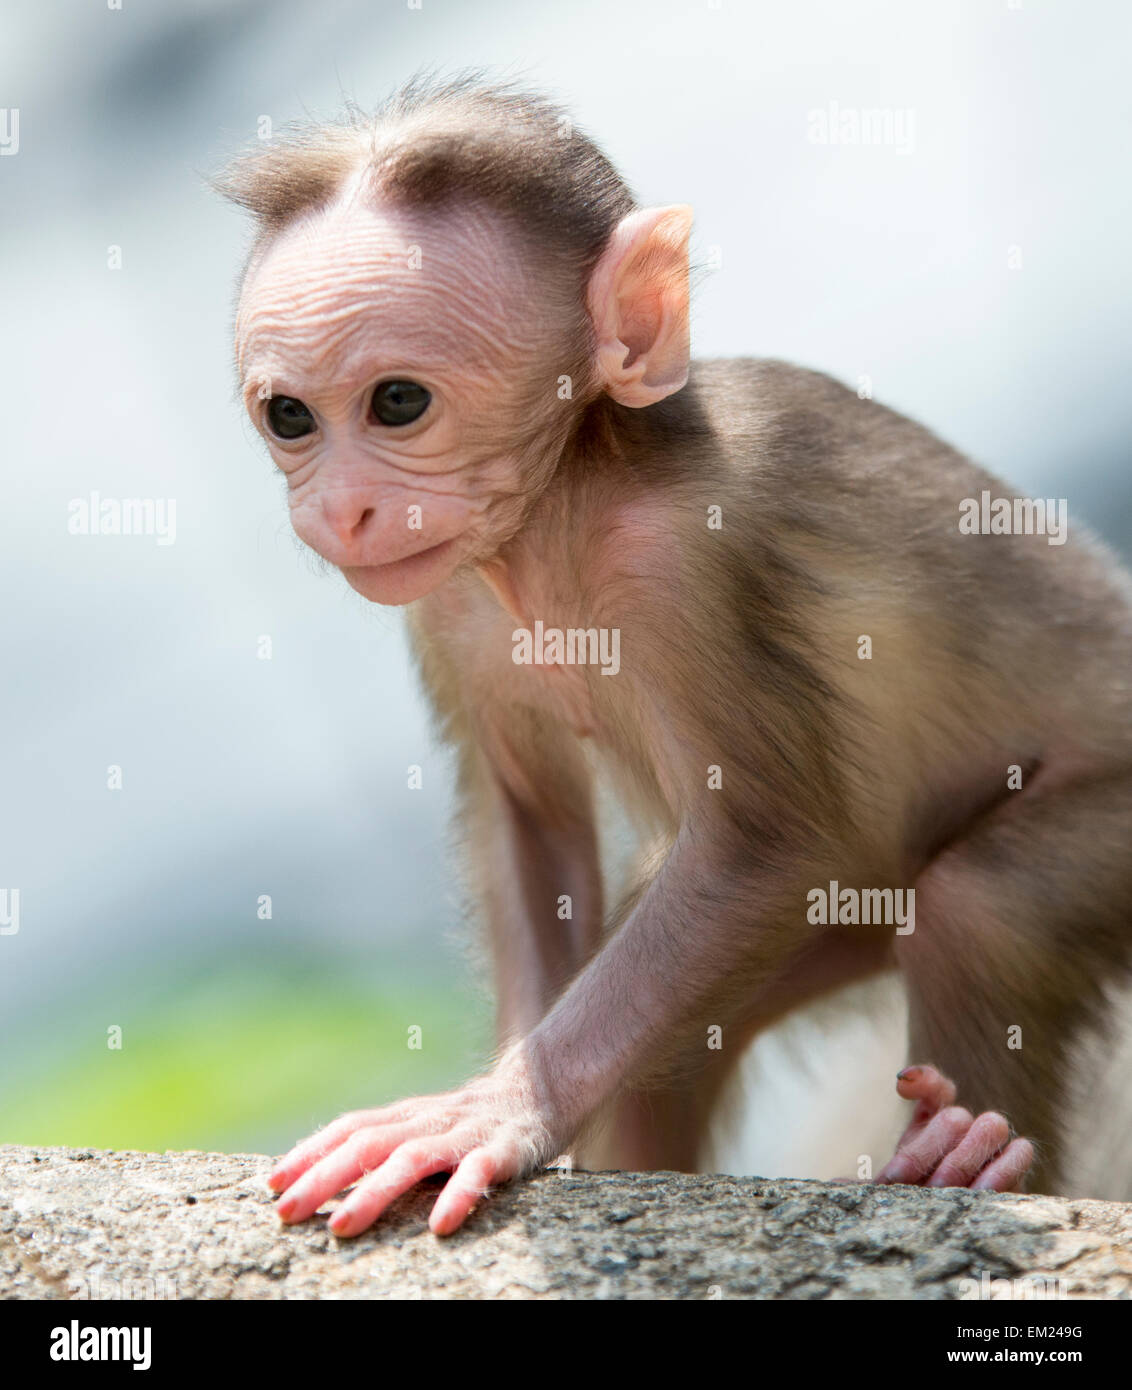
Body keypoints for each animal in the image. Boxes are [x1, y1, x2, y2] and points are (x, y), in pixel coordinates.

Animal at [219, 76, 1132, 1234]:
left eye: (397, 401)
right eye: (290, 417)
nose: (338, 509)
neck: (563, 512)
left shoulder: (686, 565)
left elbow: (763, 846)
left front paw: (491, 1112)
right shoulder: (445, 604)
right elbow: (534, 824)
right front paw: (511, 1100)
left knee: (982, 911)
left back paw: (970, 1157)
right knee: (677, 1049)